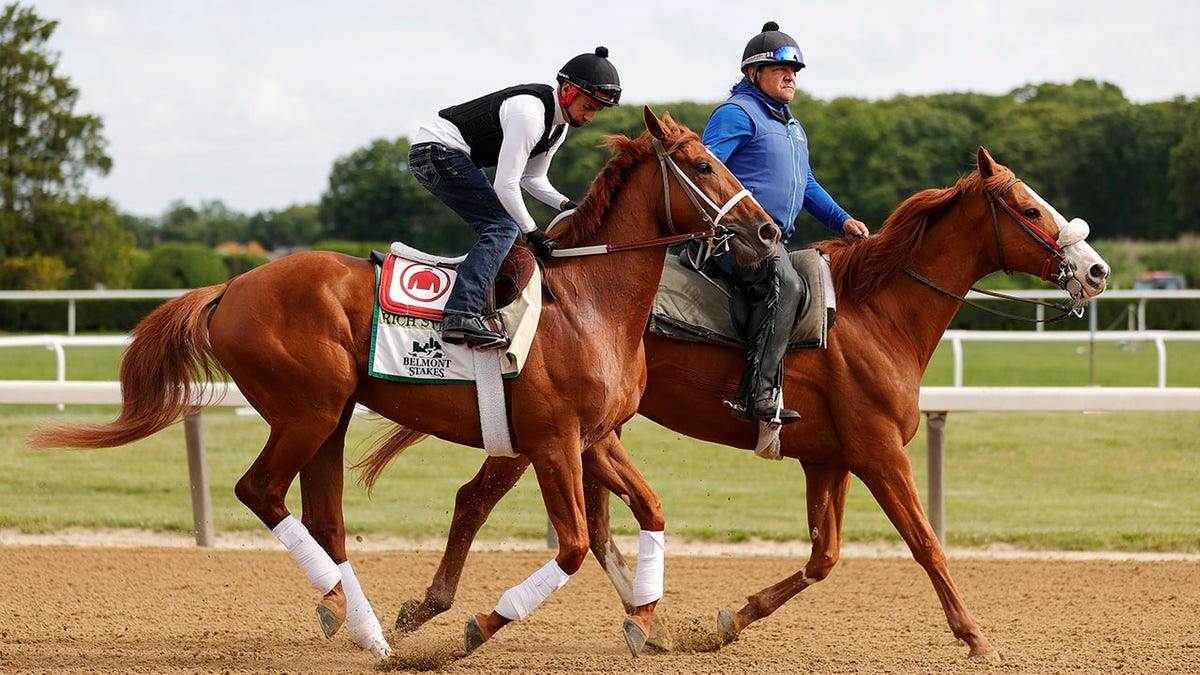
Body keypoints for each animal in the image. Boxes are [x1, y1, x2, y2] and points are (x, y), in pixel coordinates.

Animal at [30, 107, 777, 658]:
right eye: (706, 164)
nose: (768, 230)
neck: (589, 300)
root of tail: (231, 286)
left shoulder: (595, 437)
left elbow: (649, 509)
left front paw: (649, 622)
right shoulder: (552, 440)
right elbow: (567, 548)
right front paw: (479, 624)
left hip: (329, 417)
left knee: (326, 518)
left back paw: (364, 627)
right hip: (306, 411)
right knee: (260, 491)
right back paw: (355, 619)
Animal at [360, 145, 1108, 658]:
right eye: (1030, 208)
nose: (1096, 269)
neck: (875, 314)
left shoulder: (830, 458)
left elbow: (823, 556)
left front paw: (727, 620)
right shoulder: (879, 452)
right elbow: (926, 542)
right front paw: (974, 633)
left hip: (595, 432)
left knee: (591, 526)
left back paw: (640, 614)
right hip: (546, 432)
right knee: (475, 500)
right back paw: (431, 608)